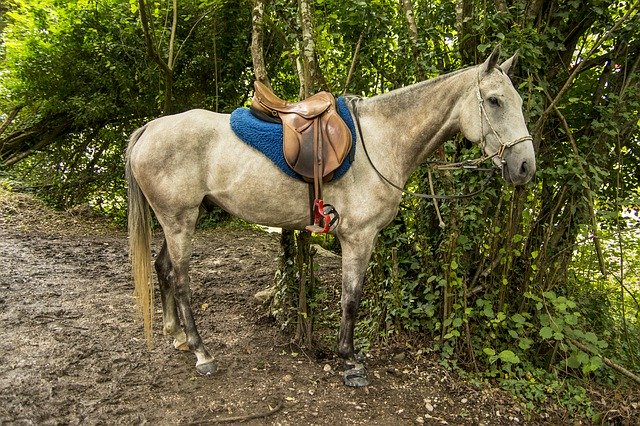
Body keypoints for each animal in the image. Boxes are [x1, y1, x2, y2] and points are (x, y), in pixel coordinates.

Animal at [125, 46, 536, 386]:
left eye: (517, 100)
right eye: (494, 101)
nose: (525, 166)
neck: (382, 140)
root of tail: (150, 128)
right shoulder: (359, 237)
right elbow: (351, 298)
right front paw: (350, 360)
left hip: (177, 221)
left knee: (163, 268)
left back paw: (178, 336)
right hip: (180, 221)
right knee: (180, 281)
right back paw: (202, 352)